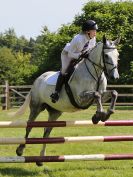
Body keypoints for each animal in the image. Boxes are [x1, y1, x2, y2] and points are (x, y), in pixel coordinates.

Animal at [13, 35, 120, 166]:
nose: (115, 77)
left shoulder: (101, 95)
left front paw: (104, 115)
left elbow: (112, 93)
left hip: (55, 112)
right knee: (29, 126)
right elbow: (96, 95)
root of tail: (38, 79)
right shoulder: (80, 98)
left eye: (117, 55)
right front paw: (99, 115)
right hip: (36, 107)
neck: (96, 74)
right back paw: (20, 150)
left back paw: (41, 159)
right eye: (106, 55)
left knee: (46, 132)